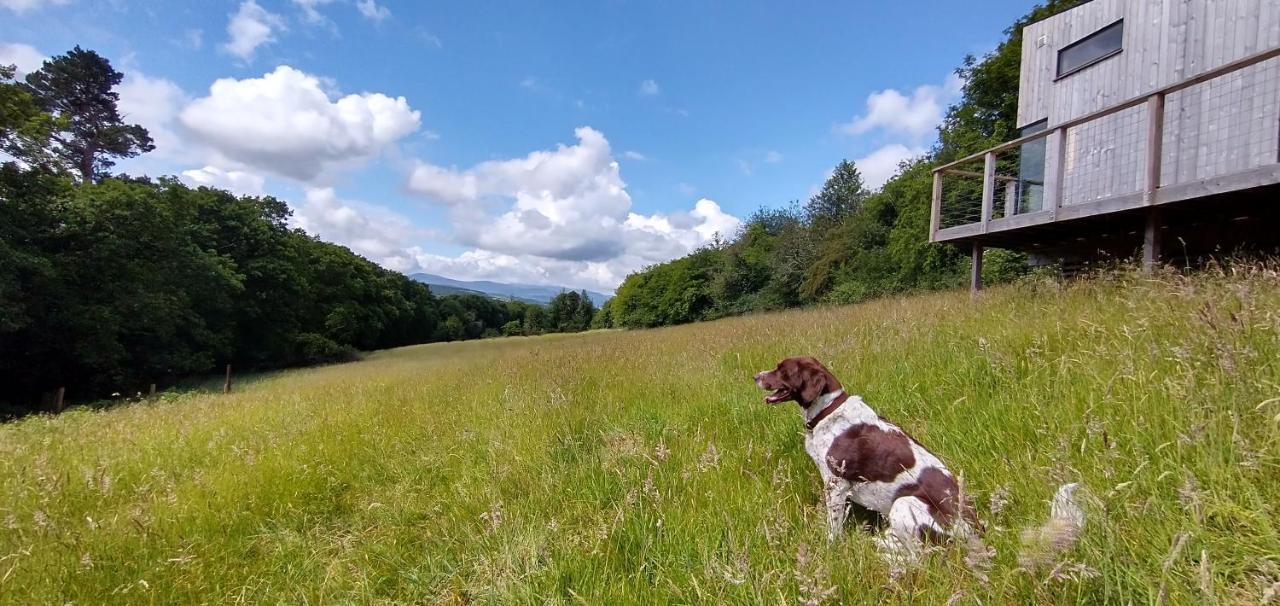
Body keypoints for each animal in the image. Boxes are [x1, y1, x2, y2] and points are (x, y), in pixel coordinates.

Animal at [752, 353, 972, 561]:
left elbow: (833, 525)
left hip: (904, 503)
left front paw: (829, 548)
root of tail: (973, 533)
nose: (756, 376)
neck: (828, 410)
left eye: (782, 370)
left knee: (916, 555)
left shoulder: (836, 483)